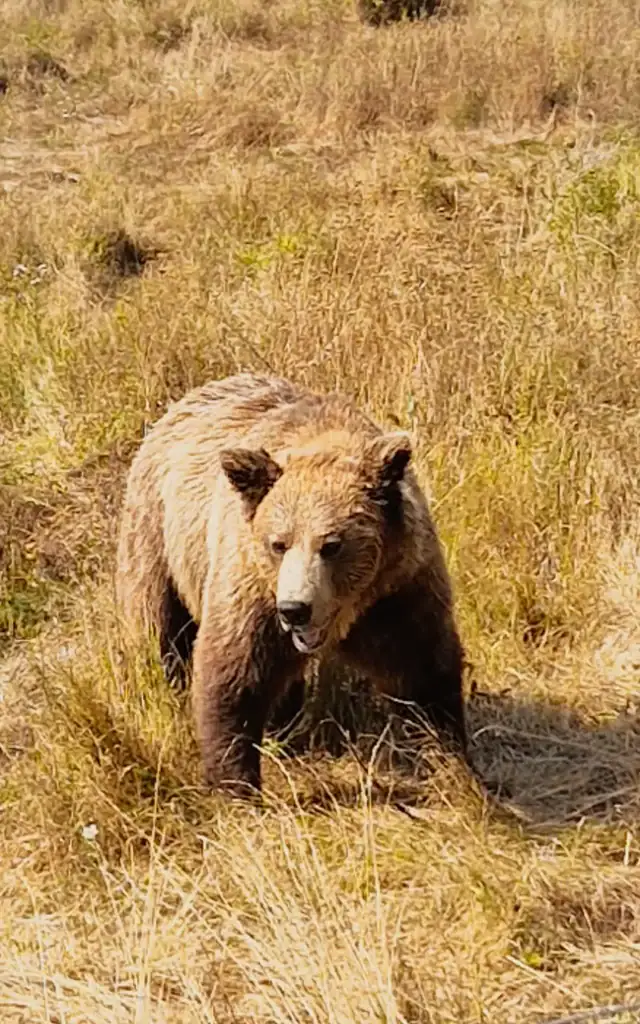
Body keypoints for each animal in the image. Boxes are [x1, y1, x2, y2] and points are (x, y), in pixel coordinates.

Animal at [116, 373, 467, 796]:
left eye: (332, 544)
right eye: (278, 543)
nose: (295, 609)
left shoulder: (399, 590)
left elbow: (423, 670)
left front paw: (450, 758)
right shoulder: (252, 587)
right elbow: (233, 672)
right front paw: (235, 784)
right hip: (158, 535)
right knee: (158, 626)